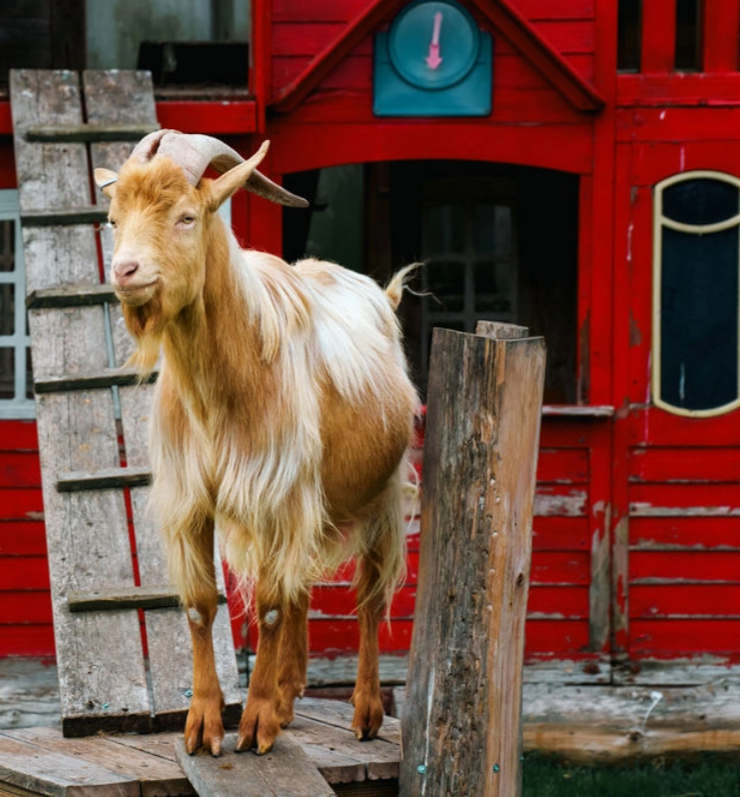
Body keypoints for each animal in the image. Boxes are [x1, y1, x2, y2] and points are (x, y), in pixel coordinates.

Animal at [94, 131, 418, 757]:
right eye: (114, 219)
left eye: (186, 216)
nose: (126, 270)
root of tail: (379, 295)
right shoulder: (192, 502)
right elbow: (201, 607)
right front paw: (203, 726)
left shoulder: (277, 494)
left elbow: (266, 608)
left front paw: (257, 724)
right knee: (301, 587)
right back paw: (291, 697)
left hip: (382, 494)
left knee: (369, 596)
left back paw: (364, 712)